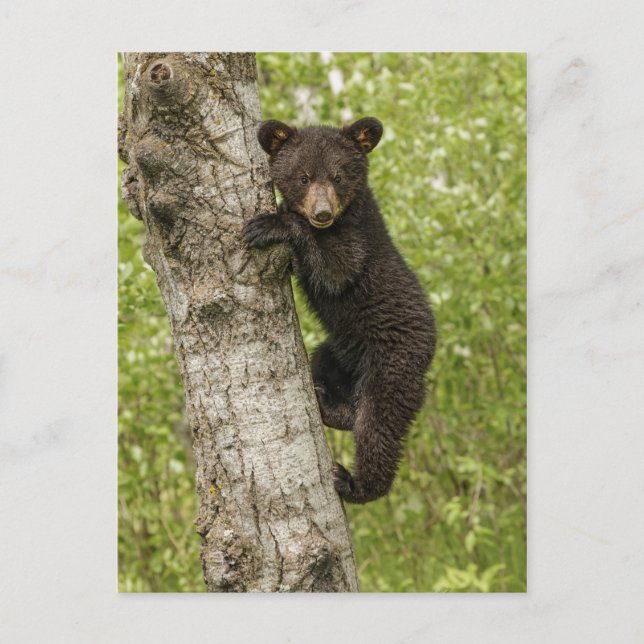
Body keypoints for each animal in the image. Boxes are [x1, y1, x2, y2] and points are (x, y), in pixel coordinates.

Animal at [244, 116, 436, 504]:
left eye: (338, 176)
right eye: (303, 177)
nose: (322, 212)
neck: (345, 215)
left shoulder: (358, 241)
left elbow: (336, 268)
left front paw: (270, 224)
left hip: (392, 366)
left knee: (378, 426)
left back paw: (355, 483)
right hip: (338, 352)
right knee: (329, 373)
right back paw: (328, 404)